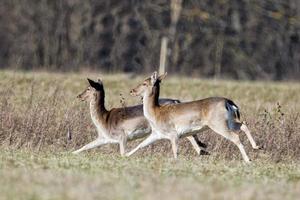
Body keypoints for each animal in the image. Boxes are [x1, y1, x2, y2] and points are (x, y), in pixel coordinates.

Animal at [72, 78, 206, 156]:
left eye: (88, 88)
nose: (78, 96)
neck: (103, 120)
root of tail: (175, 101)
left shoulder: (122, 136)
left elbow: (122, 153)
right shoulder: (103, 138)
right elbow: (86, 146)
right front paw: (70, 153)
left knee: (188, 135)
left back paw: (202, 150)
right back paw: (202, 150)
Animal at [126, 72, 260, 162]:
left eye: (144, 83)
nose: (131, 91)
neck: (155, 114)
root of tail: (228, 102)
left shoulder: (173, 133)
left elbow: (175, 150)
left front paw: (176, 162)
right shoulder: (156, 134)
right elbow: (141, 144)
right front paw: (125, 155)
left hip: (218, 123)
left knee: (235, 136)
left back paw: (248, 160)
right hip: (230, 121)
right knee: (243, 124)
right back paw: (257, 146)